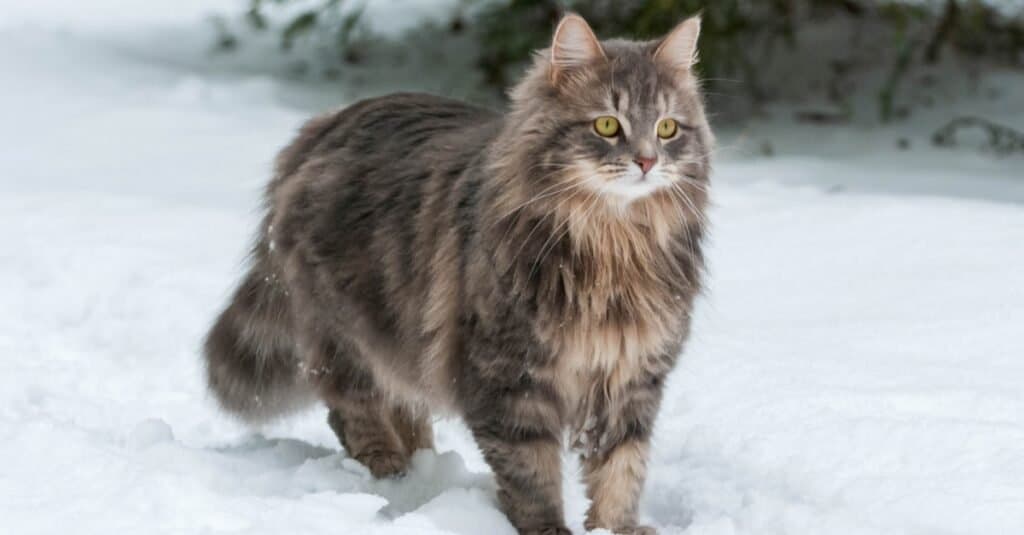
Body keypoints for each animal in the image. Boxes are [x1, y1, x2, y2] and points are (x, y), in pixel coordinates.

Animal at [202, 12, 708, 532]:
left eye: (667, 128)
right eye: (607, 125)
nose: (647, 161)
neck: (612, 245)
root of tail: (321, 127)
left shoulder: (632, 376)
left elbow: (622, 465)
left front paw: (617, 526)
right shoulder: (508, 378)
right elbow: (532, 472)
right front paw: (547, 527)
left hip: (401, 339)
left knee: (405, 408)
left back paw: (421, 470)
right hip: (347, 333)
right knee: (353, 410)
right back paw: (391, 474)